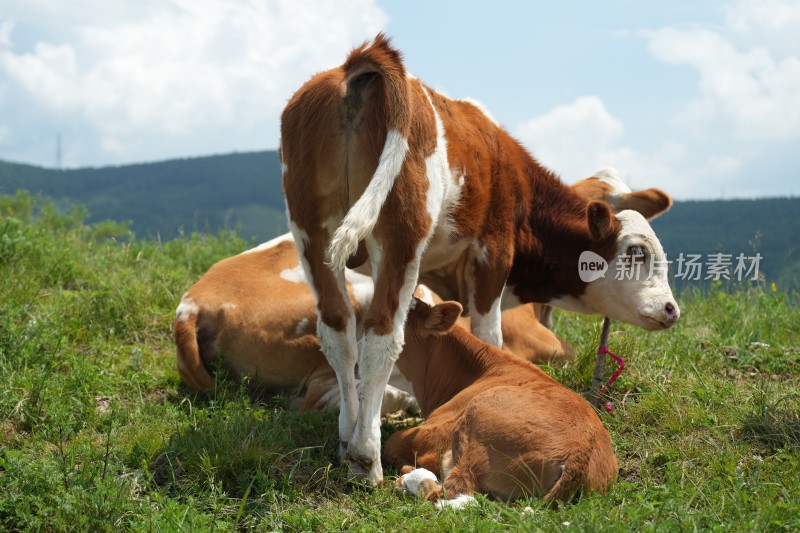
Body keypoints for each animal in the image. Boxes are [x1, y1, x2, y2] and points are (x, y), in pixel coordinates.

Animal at [278, 34, 680, 482]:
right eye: (637, 251)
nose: (671, 308)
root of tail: (359, 63)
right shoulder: (493, 255)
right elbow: (489, 335)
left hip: (312, 235)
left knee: (338, 331)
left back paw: (347, 438)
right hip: (401, 237)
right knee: (381, 335)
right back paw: (366, 456)